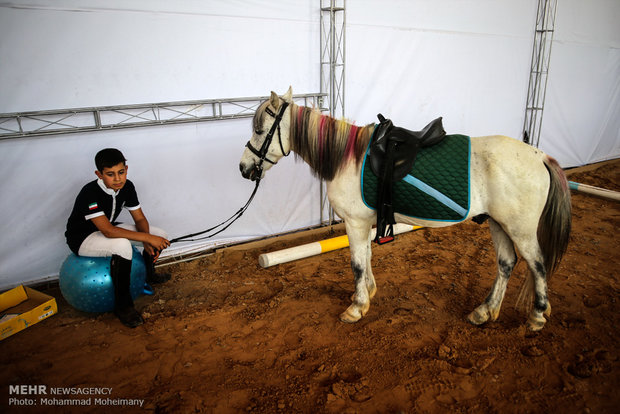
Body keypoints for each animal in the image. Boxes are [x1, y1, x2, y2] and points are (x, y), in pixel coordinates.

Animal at [239, 87, 572, 330]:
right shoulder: (365, 222)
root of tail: (541, 156)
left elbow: (357, 263)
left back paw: (537, 316)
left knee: (538, 265)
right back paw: (484, 311)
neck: (346, 156)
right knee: (506, 264)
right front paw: (367, 294)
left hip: (520, 229)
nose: (244, 168)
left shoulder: (355, 222)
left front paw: (356, 308)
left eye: (260, 130)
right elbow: (367, 258)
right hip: (497, 223)